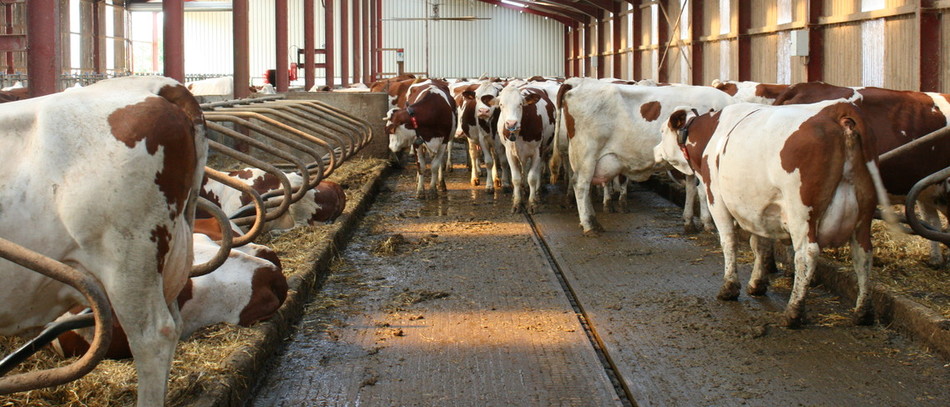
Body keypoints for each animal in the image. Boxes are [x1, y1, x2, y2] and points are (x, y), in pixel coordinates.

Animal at [494, 81, 558, 213]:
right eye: (501, 105)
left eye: (520, 104)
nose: (511, 123)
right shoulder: (509, 153)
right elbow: (516, 178)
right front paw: (517, 203)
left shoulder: (537, 152)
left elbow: (532, 177)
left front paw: (532, 203)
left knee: (536, 170)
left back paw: (536, 191)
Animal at [557, 77, 735, 235]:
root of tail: (577, 84)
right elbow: (703, 192)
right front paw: (708, 223)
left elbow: (692, 190)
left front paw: (689, 221)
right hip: (586, 154)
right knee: (581, 185)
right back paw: (589, 225)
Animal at [655, 100, 896, 328]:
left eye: (662, 131)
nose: (656, 150)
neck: (712, 134)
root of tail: (837, 110)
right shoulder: (757, 208)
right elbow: (760, 245)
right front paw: (757, 283)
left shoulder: (717, 198)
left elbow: (729, 241)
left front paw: (730, 287)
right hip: (864, 213)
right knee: (863, 255)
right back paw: (863, 312)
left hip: (802, 212)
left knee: (807, 255)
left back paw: (794, 311)